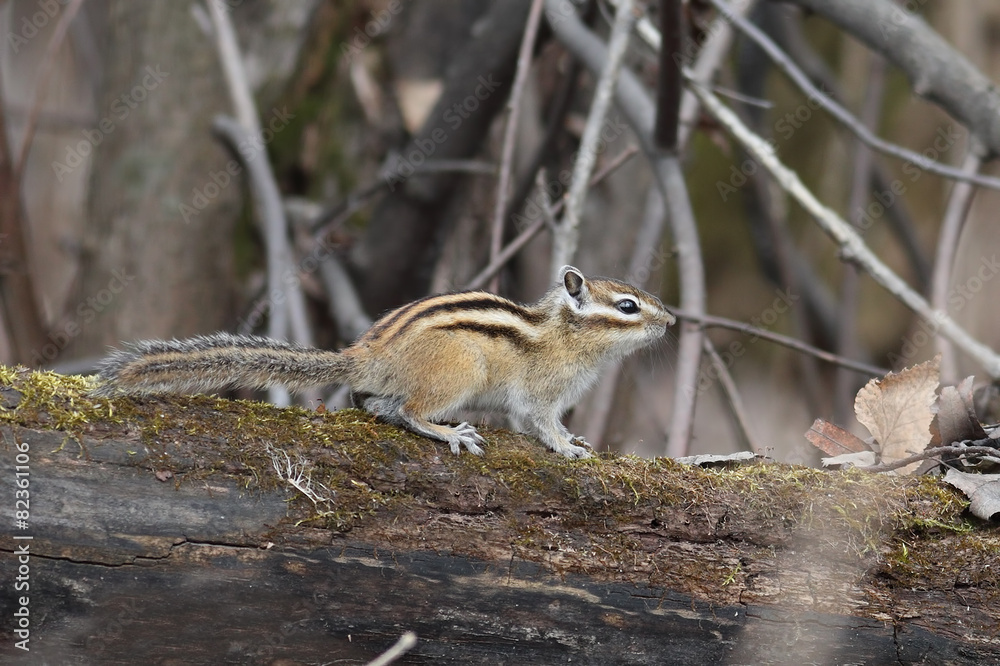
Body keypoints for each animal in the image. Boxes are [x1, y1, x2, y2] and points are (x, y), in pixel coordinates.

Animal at [92, 266, 674, 458]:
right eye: (628, 306)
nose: (671, 320)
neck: (564, 334)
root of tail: (366, 355)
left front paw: (573, 440)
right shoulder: (539, 396)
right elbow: (539, 423)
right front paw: (566, 447)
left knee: (376, 406)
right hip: (459, 373)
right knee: (409, 412)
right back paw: (449, 432)